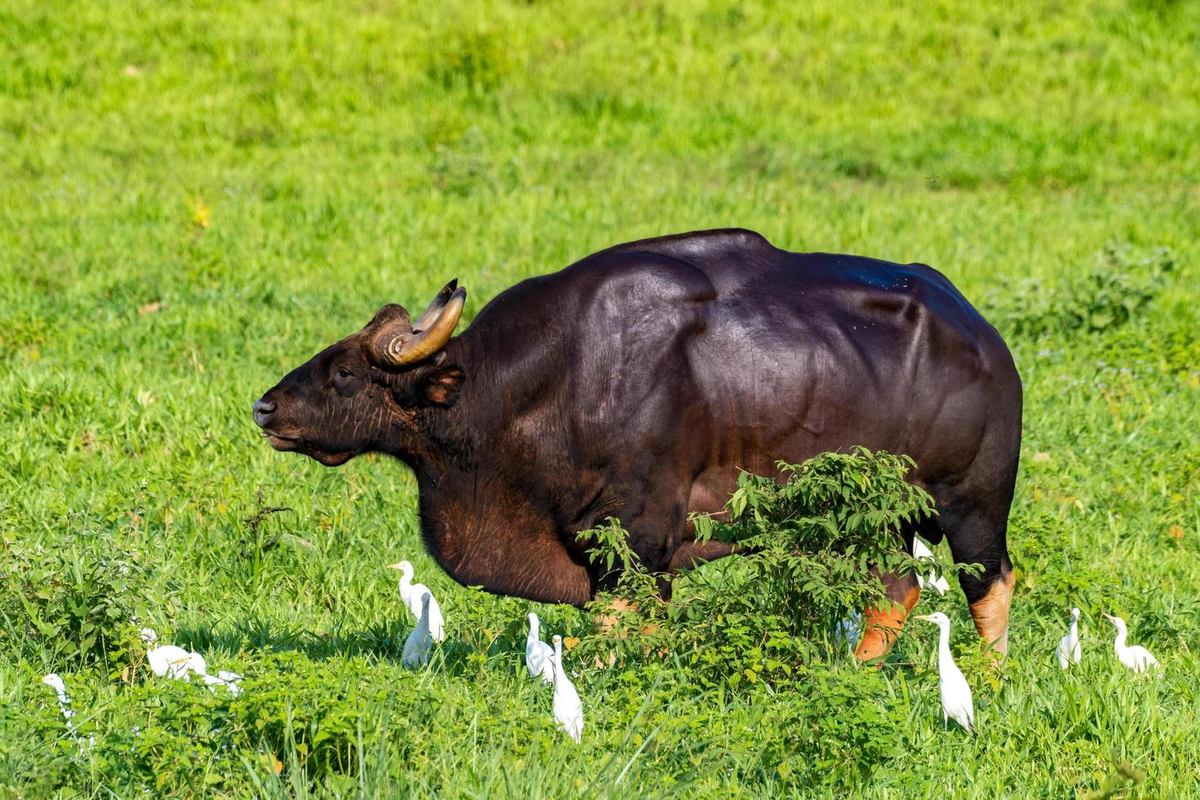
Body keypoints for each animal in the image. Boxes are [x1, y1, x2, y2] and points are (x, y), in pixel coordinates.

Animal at [253, 230, 1022, 657]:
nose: (264, 407)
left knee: (990, 584)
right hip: (879, 520)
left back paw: (990, 678)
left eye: (345, 372)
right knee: (894, 589)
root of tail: (985, 339)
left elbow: (623, 635)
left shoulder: (638, 538)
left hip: (972, 505)